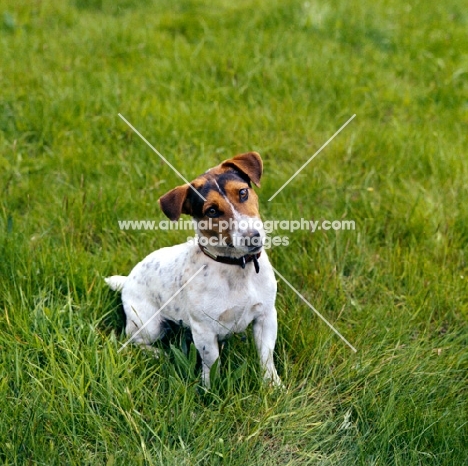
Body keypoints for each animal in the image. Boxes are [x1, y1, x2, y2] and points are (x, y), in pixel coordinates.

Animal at [105, 151, 282, 388]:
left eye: (243, 193)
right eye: (212, 211)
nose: (252, 237)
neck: (235, 266)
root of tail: (128, 279)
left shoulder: (266, 316)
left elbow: (266, 356)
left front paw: (273, 385)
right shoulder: (203, 329)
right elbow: (212, 362)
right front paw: (211, 390)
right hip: (148, 324)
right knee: (132, 341)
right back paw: (158, 353)